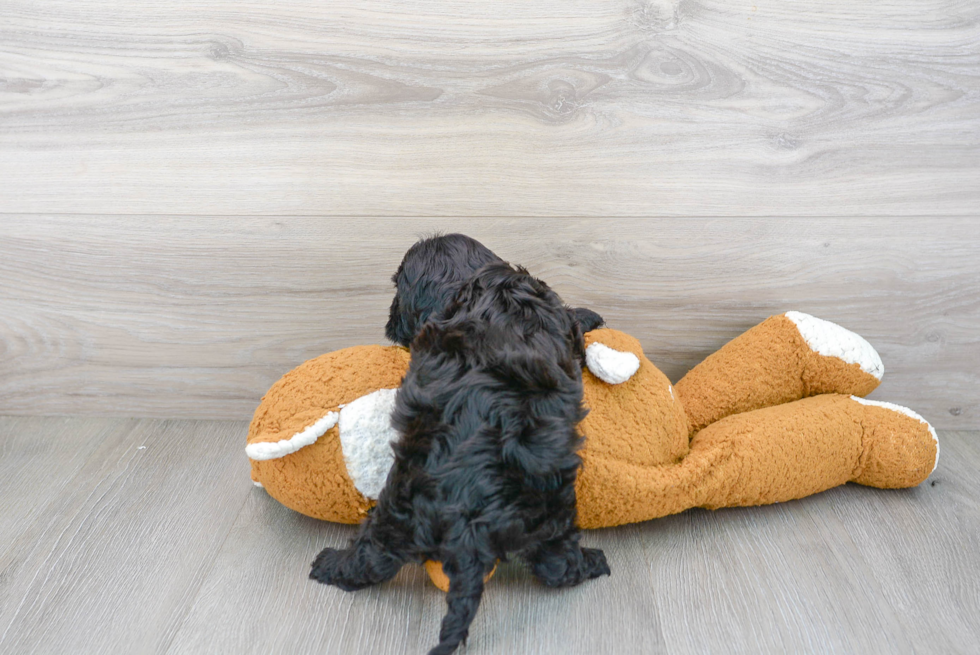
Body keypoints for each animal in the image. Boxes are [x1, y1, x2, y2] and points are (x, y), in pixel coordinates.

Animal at [312, 236, 604, 655]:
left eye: (397, 290)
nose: (388, 322)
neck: (470, 281)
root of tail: (466, 521)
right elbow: (574, 323)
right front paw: (589, 314)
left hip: (400, 509)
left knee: (372, 557)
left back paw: (329, 564)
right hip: (550, 508)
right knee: (557, 565)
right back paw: (594, 562)